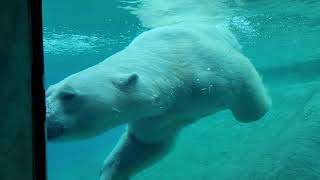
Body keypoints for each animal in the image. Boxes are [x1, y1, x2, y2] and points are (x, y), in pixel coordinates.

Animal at [45, 22, 270, 179]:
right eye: (48, 91)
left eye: (68, 95)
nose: (47, 119)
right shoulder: (155, 117)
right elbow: (144, 145)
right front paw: (111, 172)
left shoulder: (209, 69)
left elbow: (243, 82)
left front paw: (260, 105)